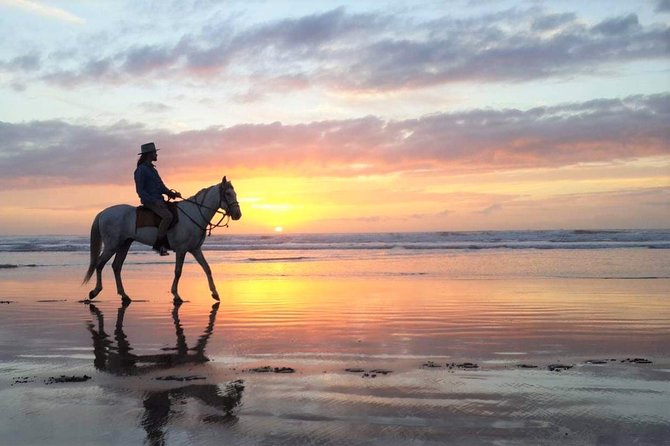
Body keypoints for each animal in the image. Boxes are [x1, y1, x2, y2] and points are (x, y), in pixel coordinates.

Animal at [83, 176, 242, 304]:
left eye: (235, 193)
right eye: (228, 194)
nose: (238, 214)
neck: (194, 213)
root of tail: (103, 213)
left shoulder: (195, 249)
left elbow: (207, 268)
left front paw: (215, 293)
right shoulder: (182, 250)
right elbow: (178, 271)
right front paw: (176, 295)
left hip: (124, 244)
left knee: (116, 266)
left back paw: (124, 295)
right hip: (112, 245)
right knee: (99, 264)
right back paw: (95, 292)